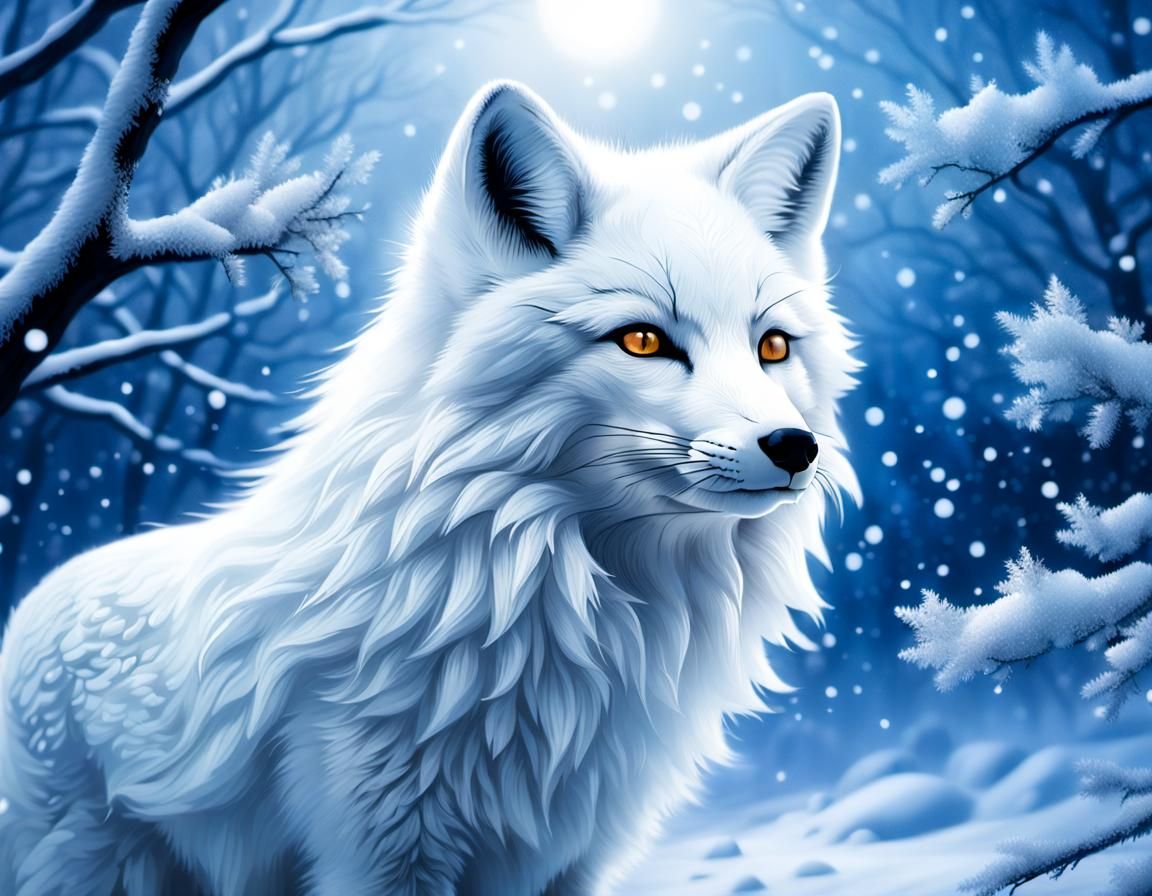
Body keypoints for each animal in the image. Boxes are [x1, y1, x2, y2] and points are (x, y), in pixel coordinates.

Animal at [0, 81, 859, 895]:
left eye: (773, 347)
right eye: (644, 341)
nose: (794, 447)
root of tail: (36, 598)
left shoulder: (577, 856)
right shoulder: (381, 847)